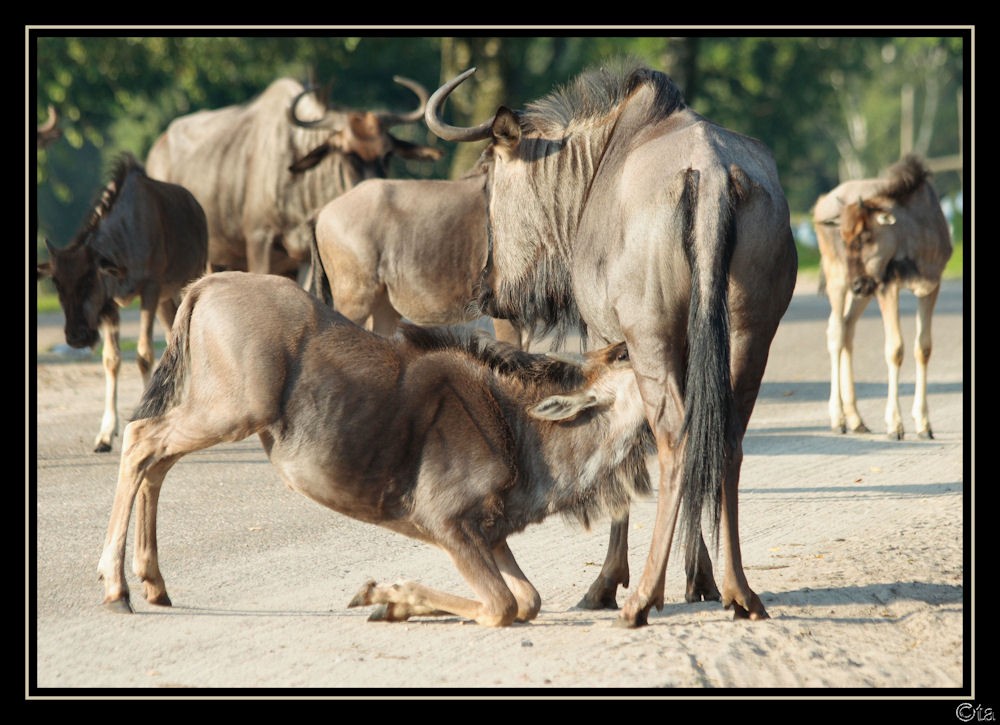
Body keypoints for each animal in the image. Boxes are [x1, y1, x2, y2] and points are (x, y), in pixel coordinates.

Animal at [37, 152, 208, 450]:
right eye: (57, 283)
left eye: (89, 278)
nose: (76, 337)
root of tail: (196, 208)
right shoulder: (112, 305)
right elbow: (111, 359)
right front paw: (105, 433)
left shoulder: (149, 289)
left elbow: (144, 355)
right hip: (165, 302)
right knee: (172, 339)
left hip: (184, 285)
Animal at [97, 270, 652, 624]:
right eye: (623, 354)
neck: (520, 430)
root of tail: (204, 286)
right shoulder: (448, 524)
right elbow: (502, 606)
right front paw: (386, 595)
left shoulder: (489, 535)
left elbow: (528, 599)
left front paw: (393, 603)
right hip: (231, 411)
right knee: (140, 440)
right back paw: (116, 588)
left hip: (214, 411)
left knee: (157, 463)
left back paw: (153, 584)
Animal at [426, 59, 800, 624]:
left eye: (488, 183)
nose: (487, 289)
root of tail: (712, 176)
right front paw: (699, 578)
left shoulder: (611, 341)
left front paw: (607, 583)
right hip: (749, 333)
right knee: (725, 438)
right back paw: (738, 590)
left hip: (651, 335)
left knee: (675, 437)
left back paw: (642, 597)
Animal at [812, 154, 952, 436]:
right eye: (843, 238)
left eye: (866, 236)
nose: (856, 283)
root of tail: (821, 203)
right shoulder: (888, 287)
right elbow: (895, 349)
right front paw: (895, 424)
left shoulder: (931, 286)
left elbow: (924, 348)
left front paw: (923, 423)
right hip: (837, 280)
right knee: (836, 332)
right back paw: (838, 419)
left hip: (864, 295)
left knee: (848, 328)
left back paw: (856, 419)